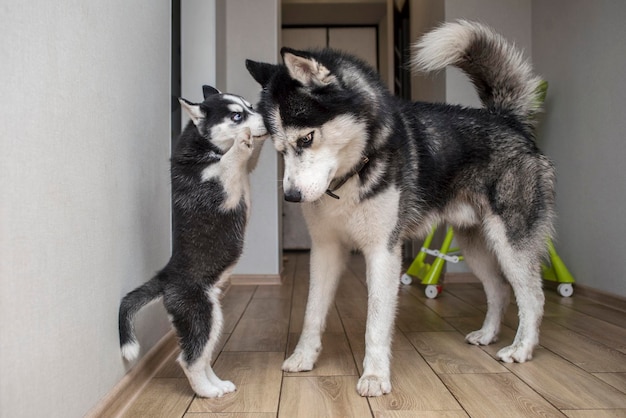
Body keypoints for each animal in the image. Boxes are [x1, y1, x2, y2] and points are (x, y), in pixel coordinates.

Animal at [118, 85, 266, 398]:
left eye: (250, 106)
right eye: (237, 115)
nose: (267, 120)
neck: (206, 147)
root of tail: (165, 276)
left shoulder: (246, 170)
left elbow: (246, 158)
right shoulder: (216, 191)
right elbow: (227, 163)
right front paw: (241, 141)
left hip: (211, 316)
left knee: (202, 357)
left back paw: (217, 385)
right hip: (199, 313)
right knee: (189, 360)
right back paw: (207, 392)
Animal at [246, 20, 552, 398]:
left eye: (306, 138)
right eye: (278, 149)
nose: (291, 197)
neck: (352, 175)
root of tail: (506, 119)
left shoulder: (383, 252)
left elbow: (376, 321)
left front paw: (375, 376)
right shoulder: (325, 249)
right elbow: (312, 312)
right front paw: (304, 357)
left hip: (510, 242)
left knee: (532, 297)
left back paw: (521, 348)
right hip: (475, 245)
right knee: (498, 290)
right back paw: (487, 334)